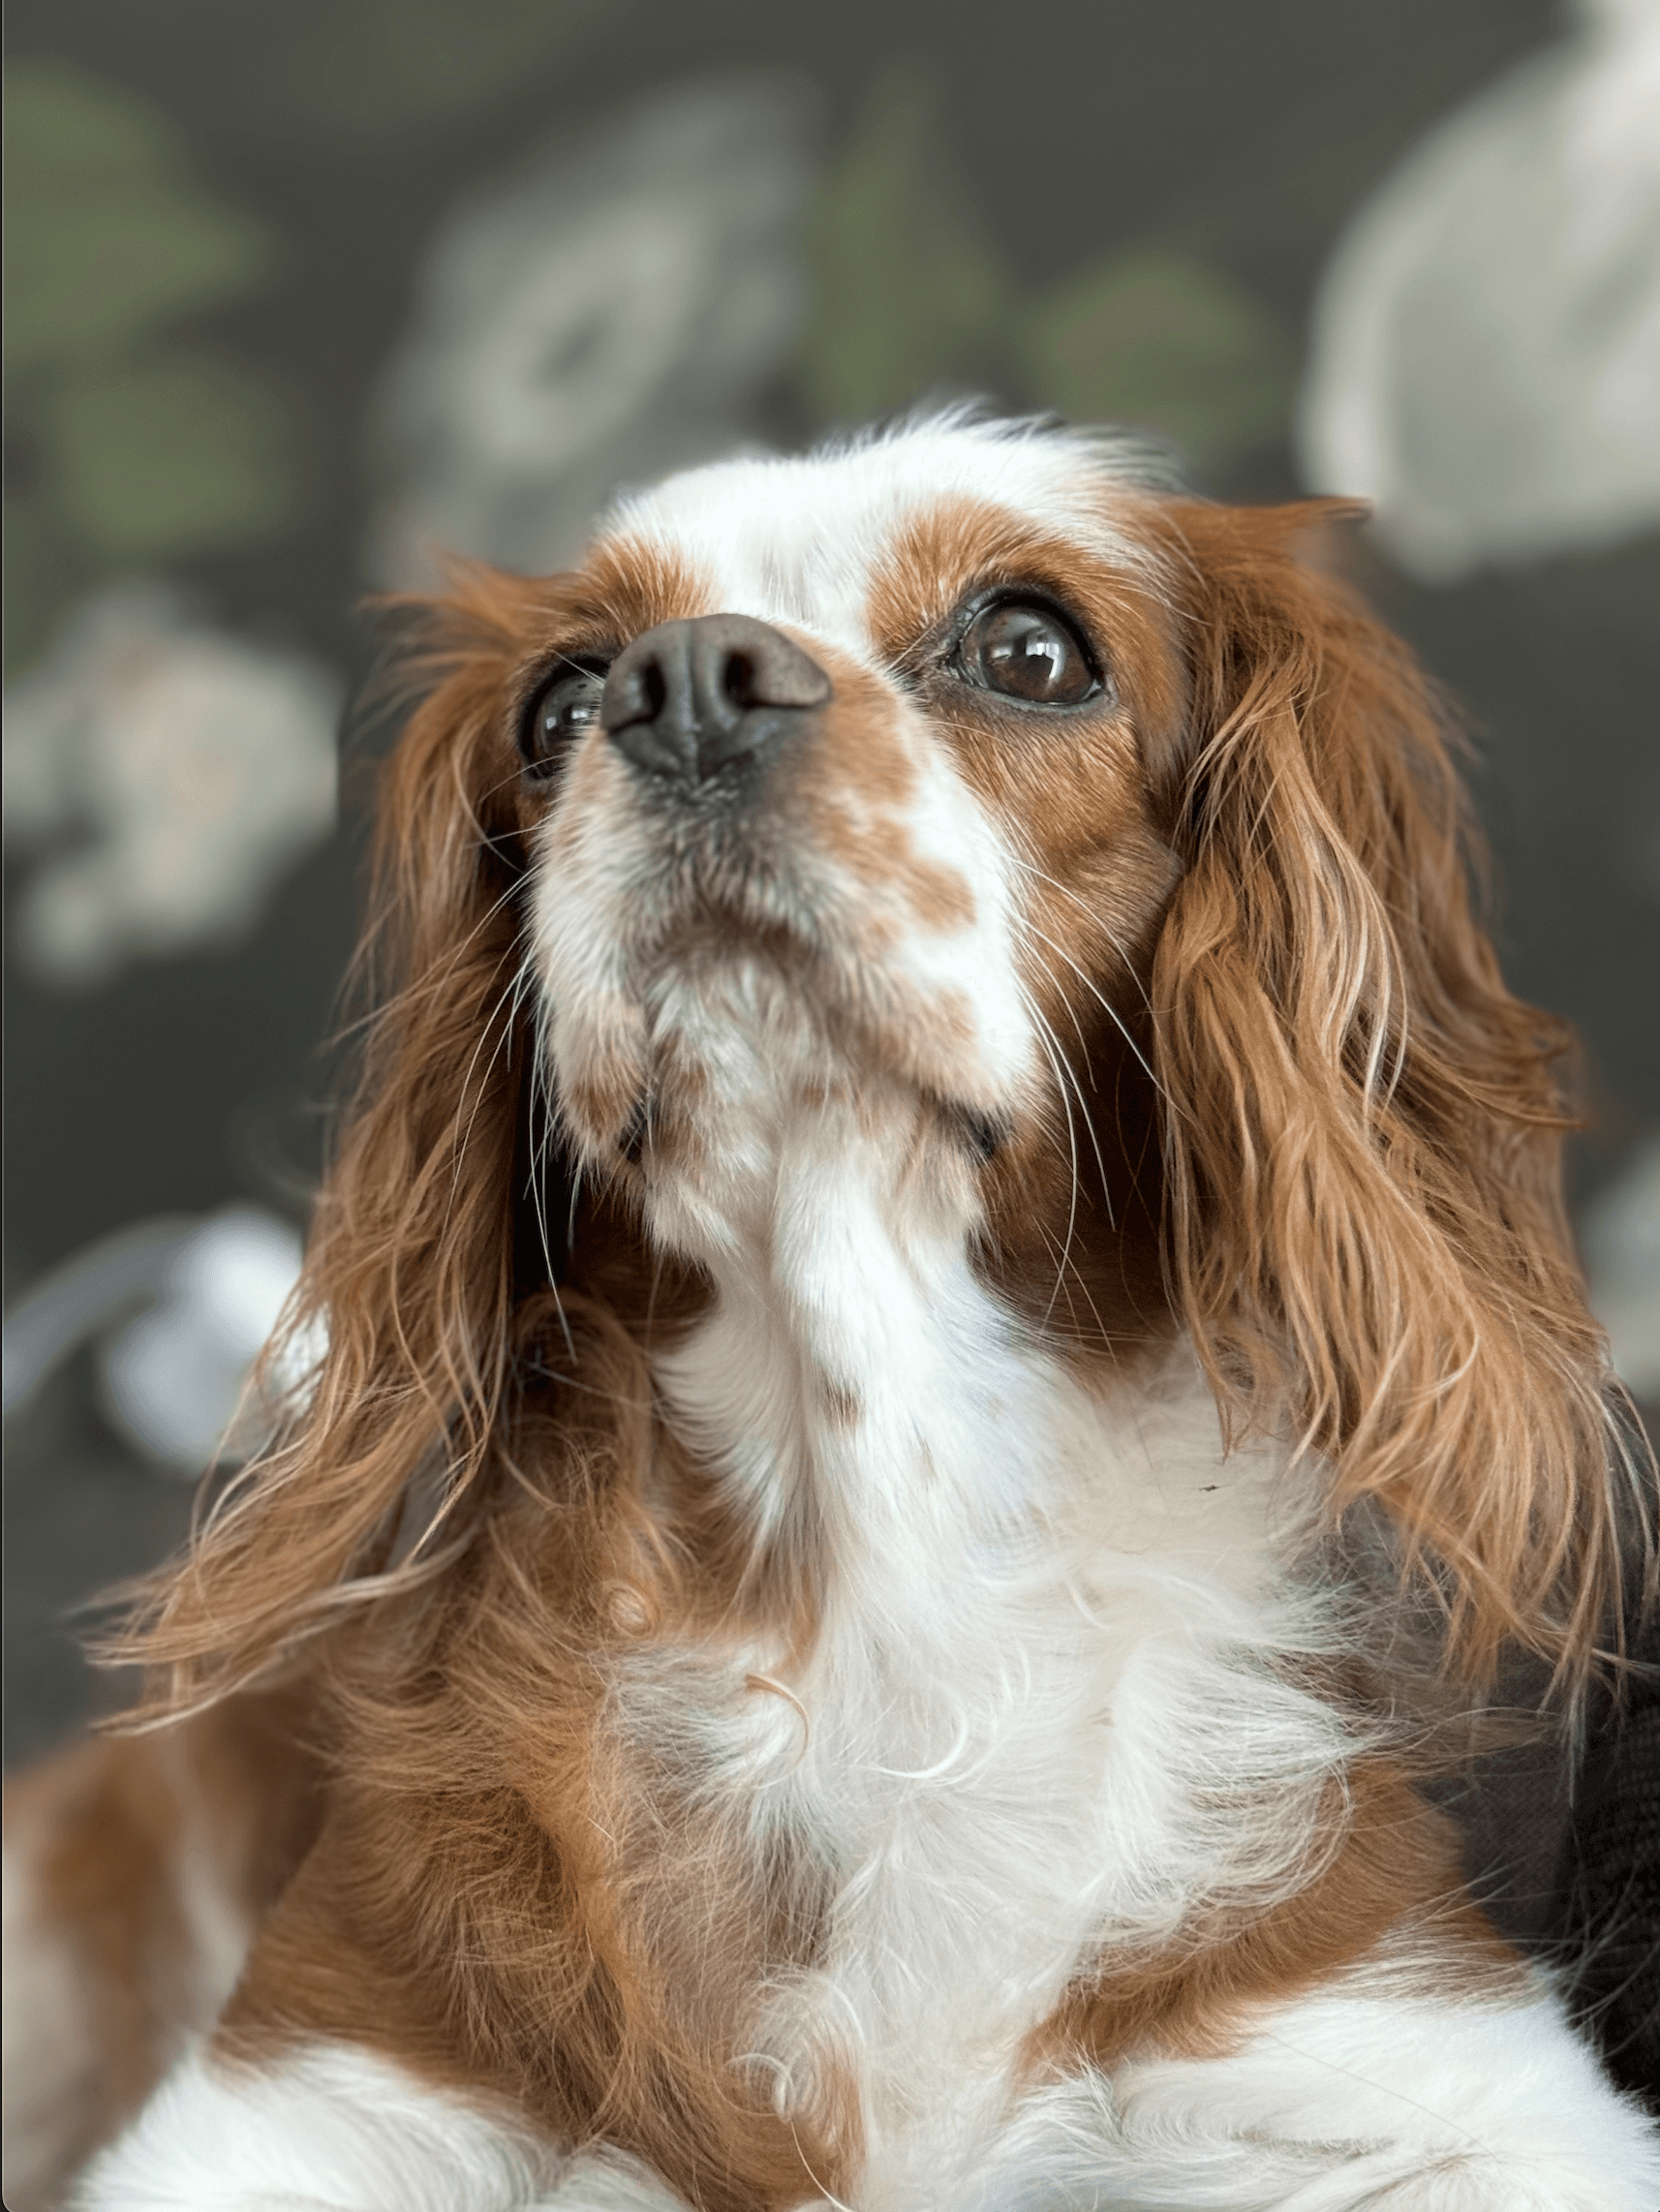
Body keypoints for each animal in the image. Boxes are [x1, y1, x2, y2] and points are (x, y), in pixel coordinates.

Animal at [10, 417, 1660, 2212]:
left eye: (1029, 649)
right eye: (558, 701)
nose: (681, 683)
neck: (867, 1559)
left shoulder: (1402, 2055)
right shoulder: (318, 2086)